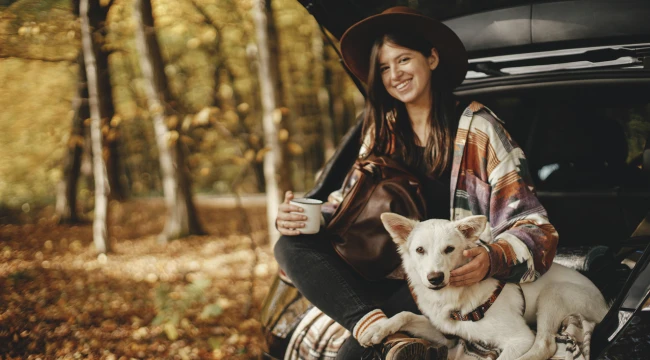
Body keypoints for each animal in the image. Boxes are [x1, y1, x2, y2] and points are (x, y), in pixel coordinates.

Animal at [360, 214, 608, 360]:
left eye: (449, 249)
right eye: (420, 250)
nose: (435, 278)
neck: (457, 297)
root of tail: (606, 306)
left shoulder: (520, 338)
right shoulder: (448, 334)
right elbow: (405, 314)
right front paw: (377, 328)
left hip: (553, 295)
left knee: (545, 345)